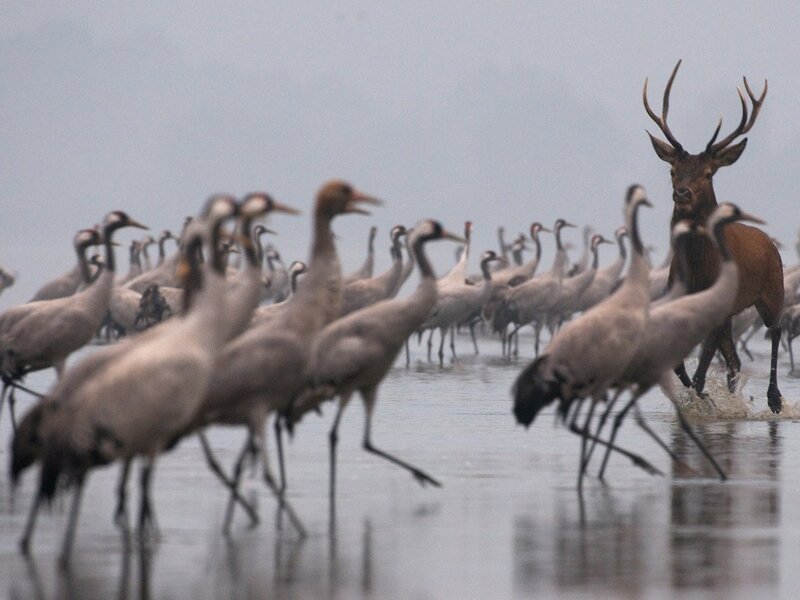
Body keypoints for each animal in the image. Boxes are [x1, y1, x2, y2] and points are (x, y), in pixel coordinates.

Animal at [644, 60, 785, 413]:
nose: (682, 193)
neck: (697, 269)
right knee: (734, 360)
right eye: (672, 170)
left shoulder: (720, 307)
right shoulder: (683, 299)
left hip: (773, 289)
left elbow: (702, 366)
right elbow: (682, 365)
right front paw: (701, 398)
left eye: (708, 173)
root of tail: (768, 242)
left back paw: (774, 398)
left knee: (774, 331)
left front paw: (703, 399)